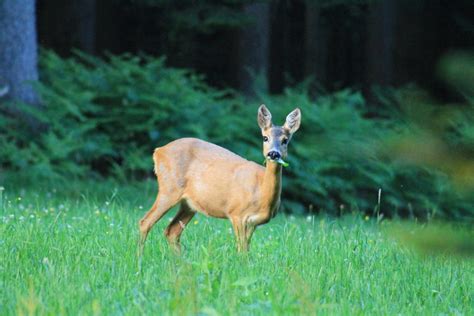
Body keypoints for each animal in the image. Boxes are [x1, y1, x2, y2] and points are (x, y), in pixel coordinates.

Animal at [138, 104, 300, 256]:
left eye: (285, 140)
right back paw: (139, 259)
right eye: (265, 138)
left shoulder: (253, 223)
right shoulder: (236, 213)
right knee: (145, 222)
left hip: (189, 204)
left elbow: (246, 250)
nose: (273, 154)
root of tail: (158, 151)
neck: (261, 192)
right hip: (169, 188)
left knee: (172, 231)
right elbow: (241, 250)